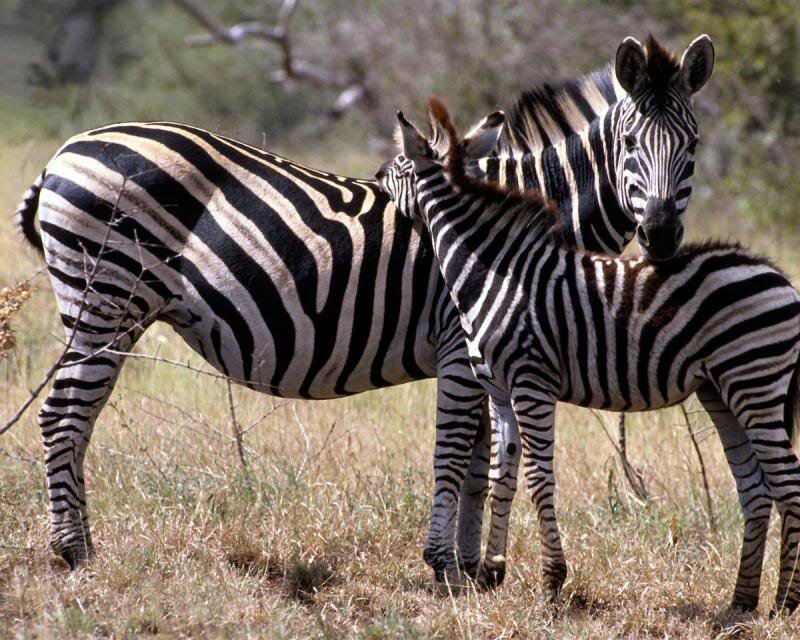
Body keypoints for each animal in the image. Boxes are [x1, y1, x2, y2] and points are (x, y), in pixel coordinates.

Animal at [10, 36, 707, 583]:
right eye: (629, 142)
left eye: (694, 144)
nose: (662, 236)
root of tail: (69, 149)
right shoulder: (461, 346)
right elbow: (455, 451)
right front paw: (447, 568)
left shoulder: (488, 354)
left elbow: (479, 459)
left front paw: (475, 571)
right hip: (105, 299)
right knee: (62, 415)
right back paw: (74, 553)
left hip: (108, 308)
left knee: (76, 417)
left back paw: (80, 544)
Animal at [381, 98, 800, 613]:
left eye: (398, 166)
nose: (374, 176)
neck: (490, 269)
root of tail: (779, 276)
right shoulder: (498, 389)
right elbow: (503, 474)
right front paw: (491, 572)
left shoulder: (532, 380)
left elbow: (540, 478)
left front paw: (551, 581)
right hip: (721, 390)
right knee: (757, 490)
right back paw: (741, 602)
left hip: (755, 383)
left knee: (789, 485)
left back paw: (786, 602)